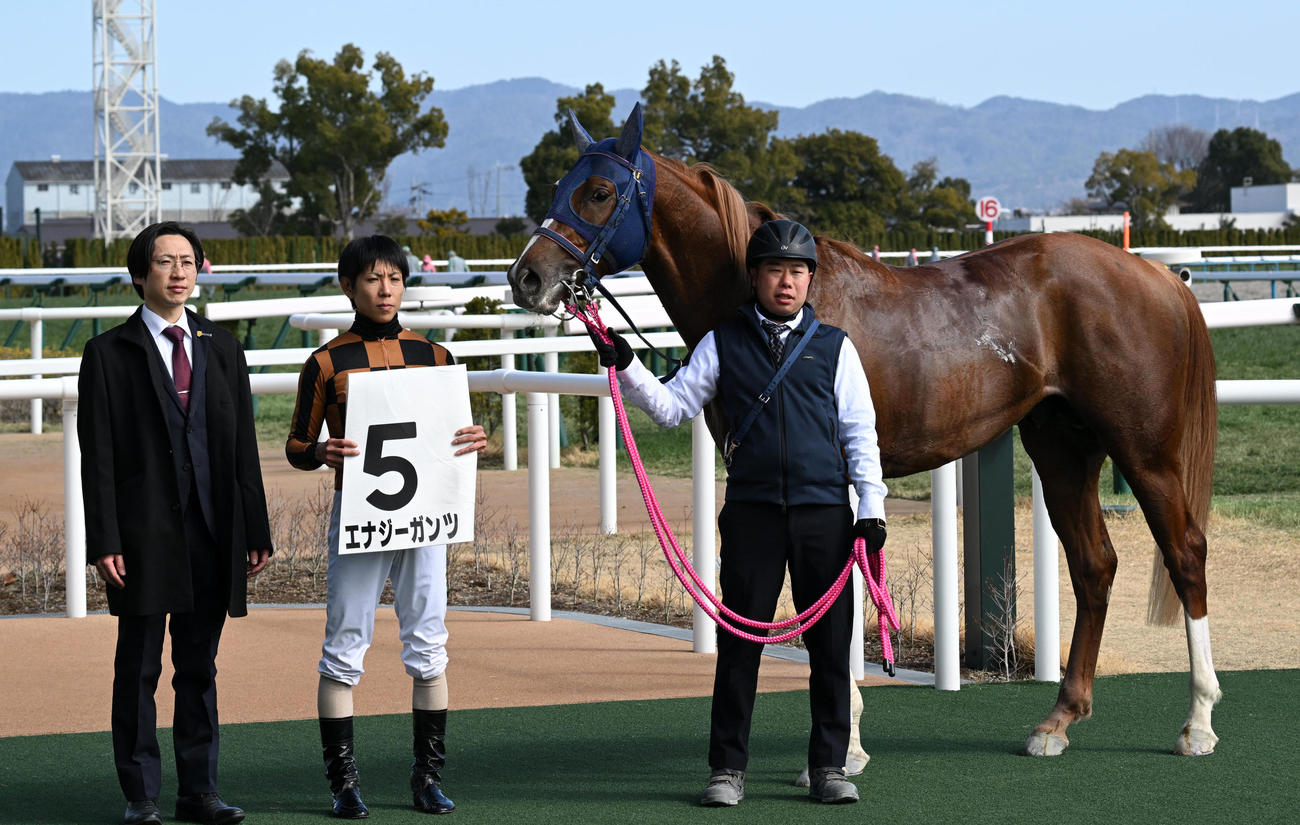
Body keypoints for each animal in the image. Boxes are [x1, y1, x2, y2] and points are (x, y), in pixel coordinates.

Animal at [508, 105, 1222, 759]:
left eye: (599, 192)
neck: (782, 310)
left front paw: (844, 742)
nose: (526, 277)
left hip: (1145, 452)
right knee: (1094, 566)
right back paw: (1059, 719)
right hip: (1061, 448)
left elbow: (834, 598)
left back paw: (1198, 724)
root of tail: (1158, 276)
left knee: (1185, 555)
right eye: (557, 186)